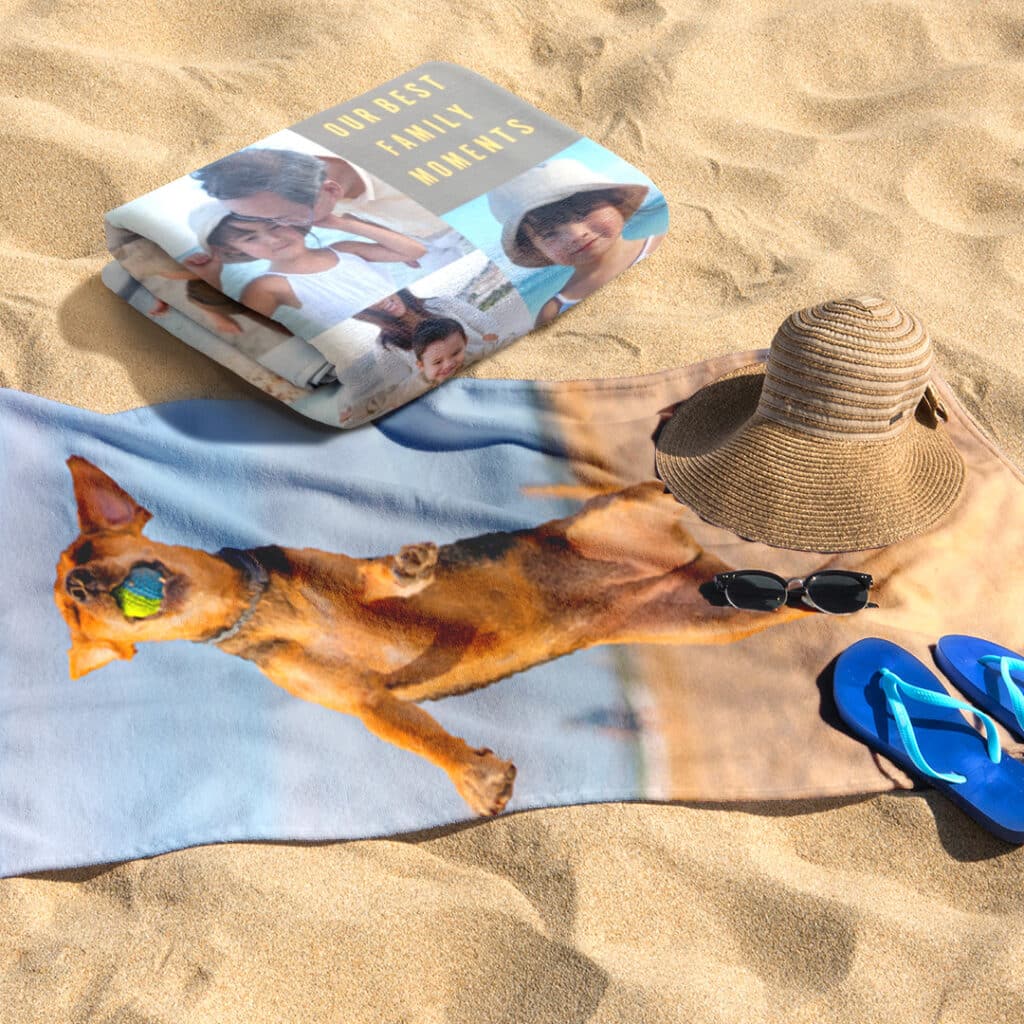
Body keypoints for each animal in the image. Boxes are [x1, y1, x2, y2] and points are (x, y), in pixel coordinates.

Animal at [56, 456, 811, 815]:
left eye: (90, 554)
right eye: (72, 613)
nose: (82, 588)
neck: (260, 609)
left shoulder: (357, 591)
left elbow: (377, 583)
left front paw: (405, 568)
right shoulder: (366, 701)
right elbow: (420, 737)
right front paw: (473, 776)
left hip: (631, 518)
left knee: (692, 491)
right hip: (719, 620)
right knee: (796, 595)